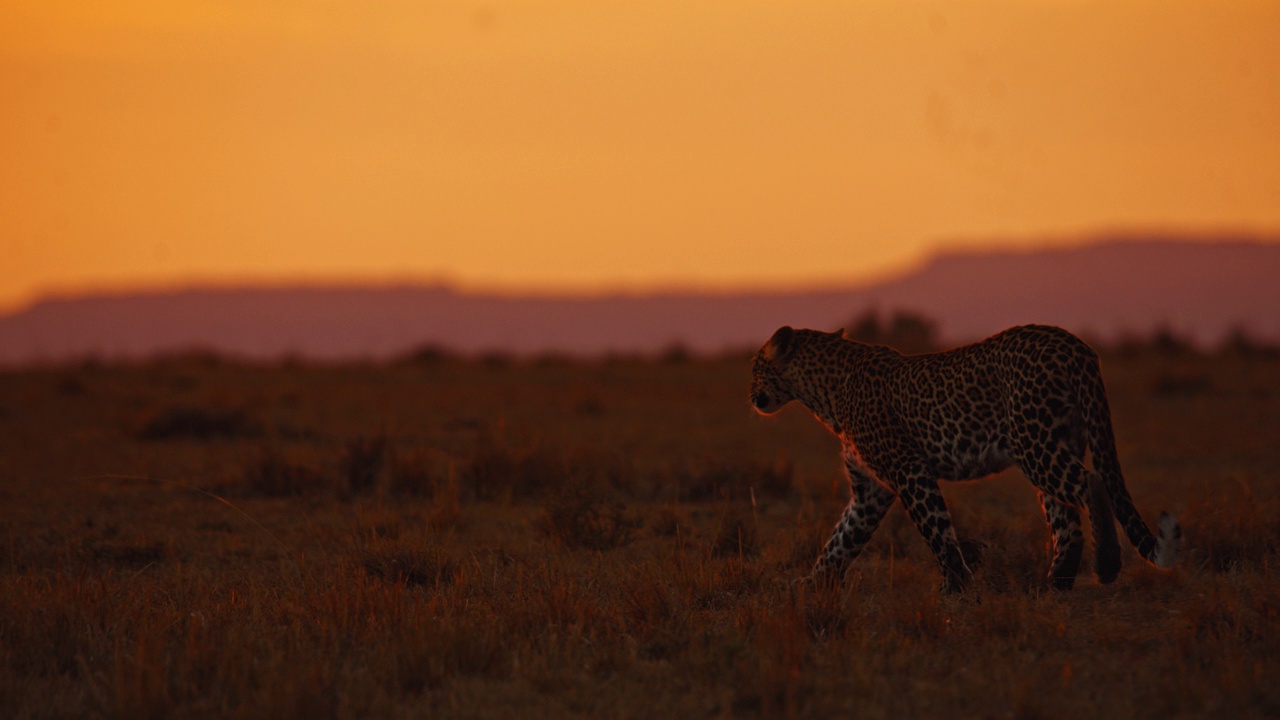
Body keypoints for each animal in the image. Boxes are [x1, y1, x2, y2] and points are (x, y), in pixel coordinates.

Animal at [747, 322, 1177, 591]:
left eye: (754, 368)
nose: (750, 395)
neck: (821, 393)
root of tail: (1074, 345)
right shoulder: (870, 489)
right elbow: (840, 541)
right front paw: (811, 583)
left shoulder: (908, 470)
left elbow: (935, 528)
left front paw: (955, 583)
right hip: (1053, 444)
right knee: (1066, 520)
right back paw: (1056, 582)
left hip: (1034, 444)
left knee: (1092, 482)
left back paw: (1105, 564)